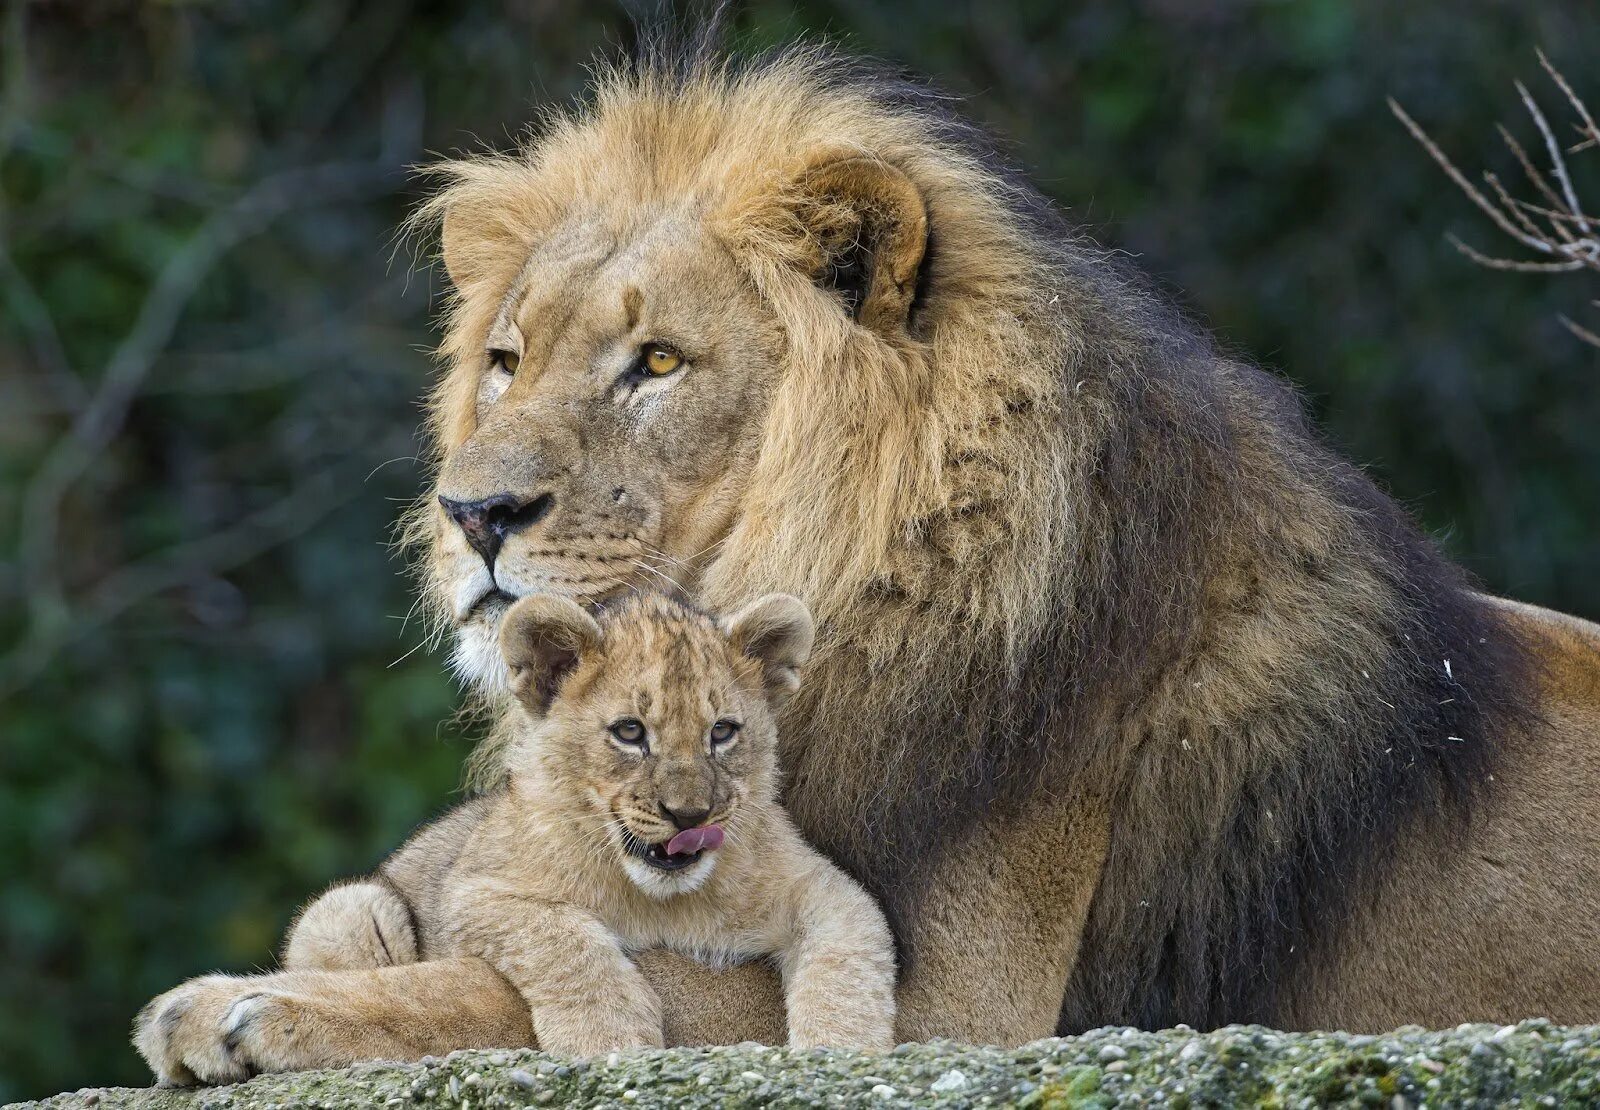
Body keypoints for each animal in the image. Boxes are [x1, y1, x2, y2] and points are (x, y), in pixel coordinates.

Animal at [137, 43, 1600, 1081]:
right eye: (506, 359)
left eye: (656, 361)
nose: (473, 512)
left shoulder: (955, 1001)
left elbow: (556, 979)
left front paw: (243, 1002)